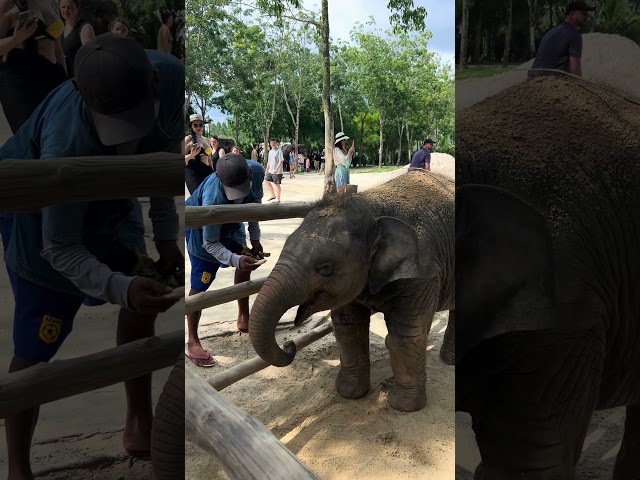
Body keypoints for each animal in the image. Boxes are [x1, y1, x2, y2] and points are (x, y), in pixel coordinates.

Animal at [248, 172, 452, 412]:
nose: (289, 344)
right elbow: (348, 327)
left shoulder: (422, 273)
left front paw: (403, 407)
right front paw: (349, 393)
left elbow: (405, 334)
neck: (373, 207)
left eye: (325, 268)